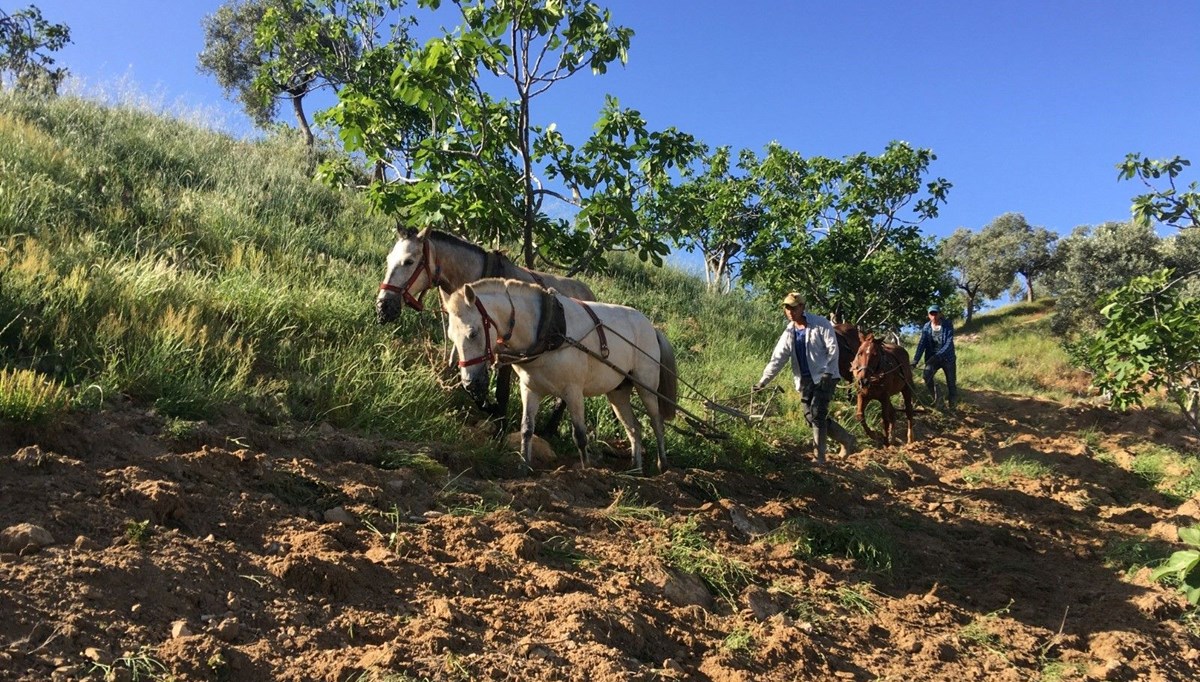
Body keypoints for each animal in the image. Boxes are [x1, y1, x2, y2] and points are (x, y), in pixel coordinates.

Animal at [446, 277, 681, 473]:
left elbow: (580, 435)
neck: (547, 329)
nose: (470, 383)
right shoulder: (530, 389)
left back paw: (663, 466)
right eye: (450, 336)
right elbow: (526, 429)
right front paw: (524, 466)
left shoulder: (573, 390)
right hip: (618, 391)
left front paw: (586, 470)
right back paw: (636, 470)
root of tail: (652, 328)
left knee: (656, 422)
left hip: (646, 385)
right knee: (634, 428)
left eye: (473, 333)